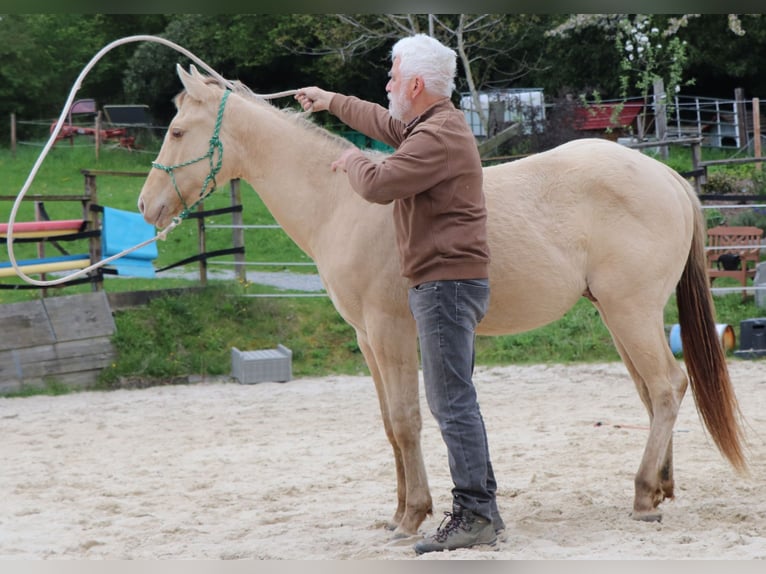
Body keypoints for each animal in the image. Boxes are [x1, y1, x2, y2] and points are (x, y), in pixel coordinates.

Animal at [138, 64, 746, 537]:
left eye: (177, 130)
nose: (146, 206)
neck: (342, 203)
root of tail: (667, 176)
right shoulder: (367, 339)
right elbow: (389, 423)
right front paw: (397, 512)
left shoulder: (391, 332)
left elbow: (408, 421)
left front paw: (413, 516)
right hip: (623, 317)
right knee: (655, 393)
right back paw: (662, 488)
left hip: (630, 312)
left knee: (667, 387)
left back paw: (643, 495)